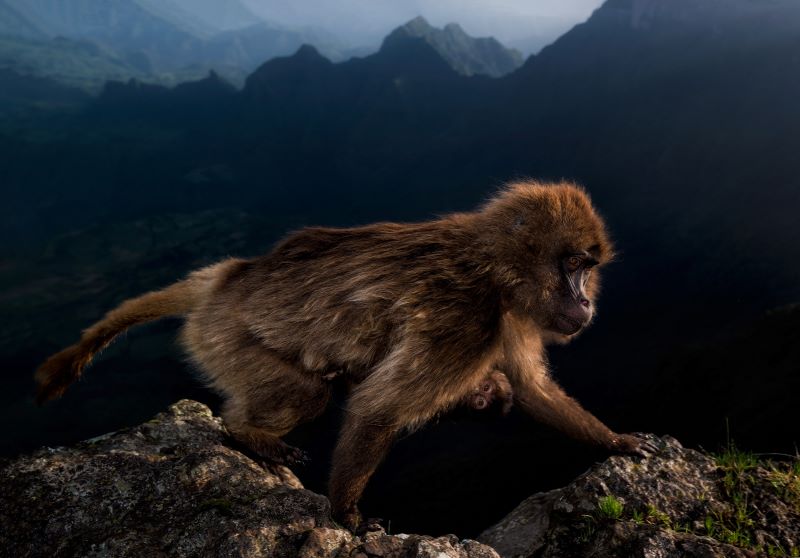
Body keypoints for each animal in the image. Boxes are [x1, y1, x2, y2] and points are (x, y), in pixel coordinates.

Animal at [34, 183, 652, 532]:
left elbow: (530, 391)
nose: (585, 302)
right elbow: (379, 408)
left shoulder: (510, 319)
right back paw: (245, 431)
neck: (496, 269)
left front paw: (616, 441)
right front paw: (346, 515)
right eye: (572, 266)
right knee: (305, 391)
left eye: (587, 268)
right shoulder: (466, 320)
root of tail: (229, 278)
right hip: (223, 338)